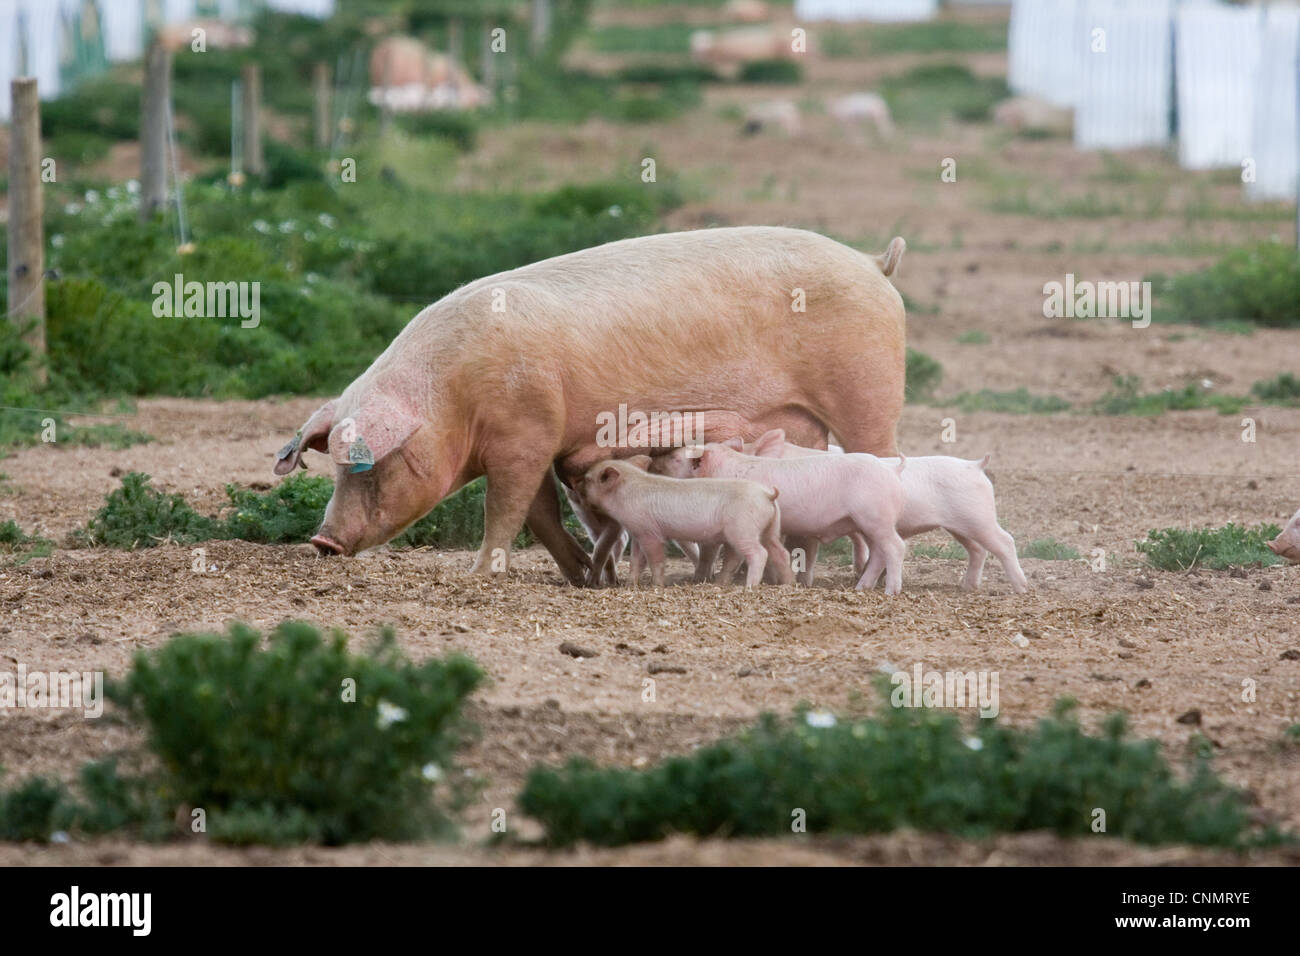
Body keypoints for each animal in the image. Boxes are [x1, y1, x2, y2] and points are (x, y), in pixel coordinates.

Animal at [579, 460, 790, 587]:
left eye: (588, 479)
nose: (575, 487)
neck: (625, 494)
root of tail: (767, 494)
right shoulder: (638, 533)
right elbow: (636, 560)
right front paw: (631, 585)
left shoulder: (650, 532)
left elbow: (655, 559)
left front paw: (657, 585)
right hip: (770, 528)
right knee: (779, 552)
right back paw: (788, 584)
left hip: (743, 529)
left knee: (759, 553)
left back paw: (749, 586)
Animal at [650, 439, 904, 590]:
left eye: (676, 458)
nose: (653, 463)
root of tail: (890, 470)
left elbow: (730, 554)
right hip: (867, 522)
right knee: (878, 552)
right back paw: (861, 588)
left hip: (874, 516)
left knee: (895, 546)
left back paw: (891, 591)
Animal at [748, 431, 1029, 595]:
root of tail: (975, 465)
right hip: (959, 526)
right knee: (978, 550)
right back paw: (967, 587)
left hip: (978, 516)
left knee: (1005, 541)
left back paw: (1021, 588)